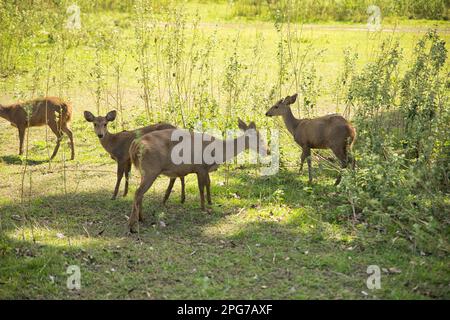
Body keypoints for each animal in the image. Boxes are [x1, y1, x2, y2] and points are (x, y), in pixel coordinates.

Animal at [126, 119, 268, 231]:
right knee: (138, 193)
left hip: (145, 171)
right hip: (151, 169)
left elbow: (208, 183)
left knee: (140, 193)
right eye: (259, 138)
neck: (218, 151)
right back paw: (132, 225)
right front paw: (204, 208)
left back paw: (141, 218)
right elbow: (201, 187)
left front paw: (210, 203)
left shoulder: (205, 169)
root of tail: (134, 146)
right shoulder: (200, 167)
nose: (267, 151)